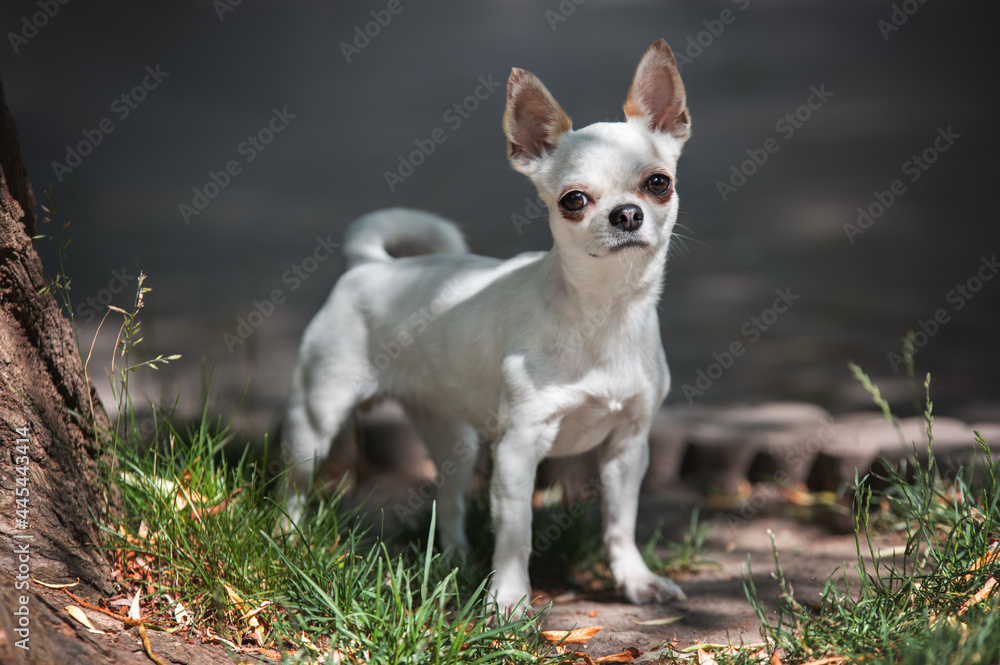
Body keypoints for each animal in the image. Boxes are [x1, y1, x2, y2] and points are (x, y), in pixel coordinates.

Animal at [282, 39, 688, 616]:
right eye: (574, 200)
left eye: (659, 183)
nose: (627, 214)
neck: (602, 314)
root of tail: (370, 265)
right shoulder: (518, 450)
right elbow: (516, 534)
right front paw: (509, 602)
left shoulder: (628, 447)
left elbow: (620, 521)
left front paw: (635, 580)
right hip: (314, 424)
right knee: (292, 490)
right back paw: (287, 542)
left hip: (454, 439)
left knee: (448, 502)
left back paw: (452, 561)